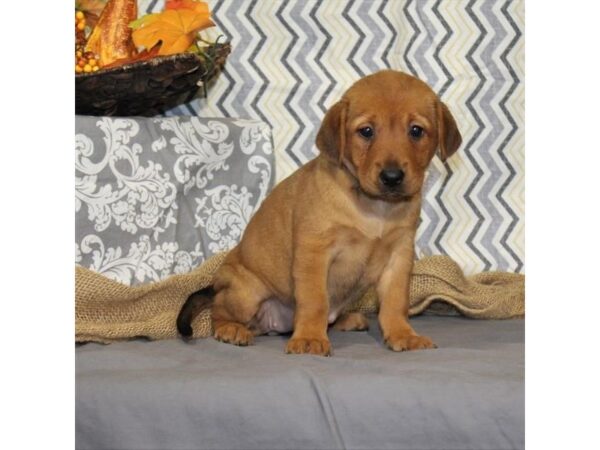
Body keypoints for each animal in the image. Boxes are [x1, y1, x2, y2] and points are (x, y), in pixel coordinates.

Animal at [176, 69, 462, 356]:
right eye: (366, 131)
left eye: (416, 130)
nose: (392, 177)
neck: (376, 208)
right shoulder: (314, 252)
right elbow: (315, 302)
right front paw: (310, 338)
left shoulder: (399, 255)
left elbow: (394, 303)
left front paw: (403, 334)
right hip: (246, 293)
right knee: (219, 312)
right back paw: (232, 330)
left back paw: (347, 319)